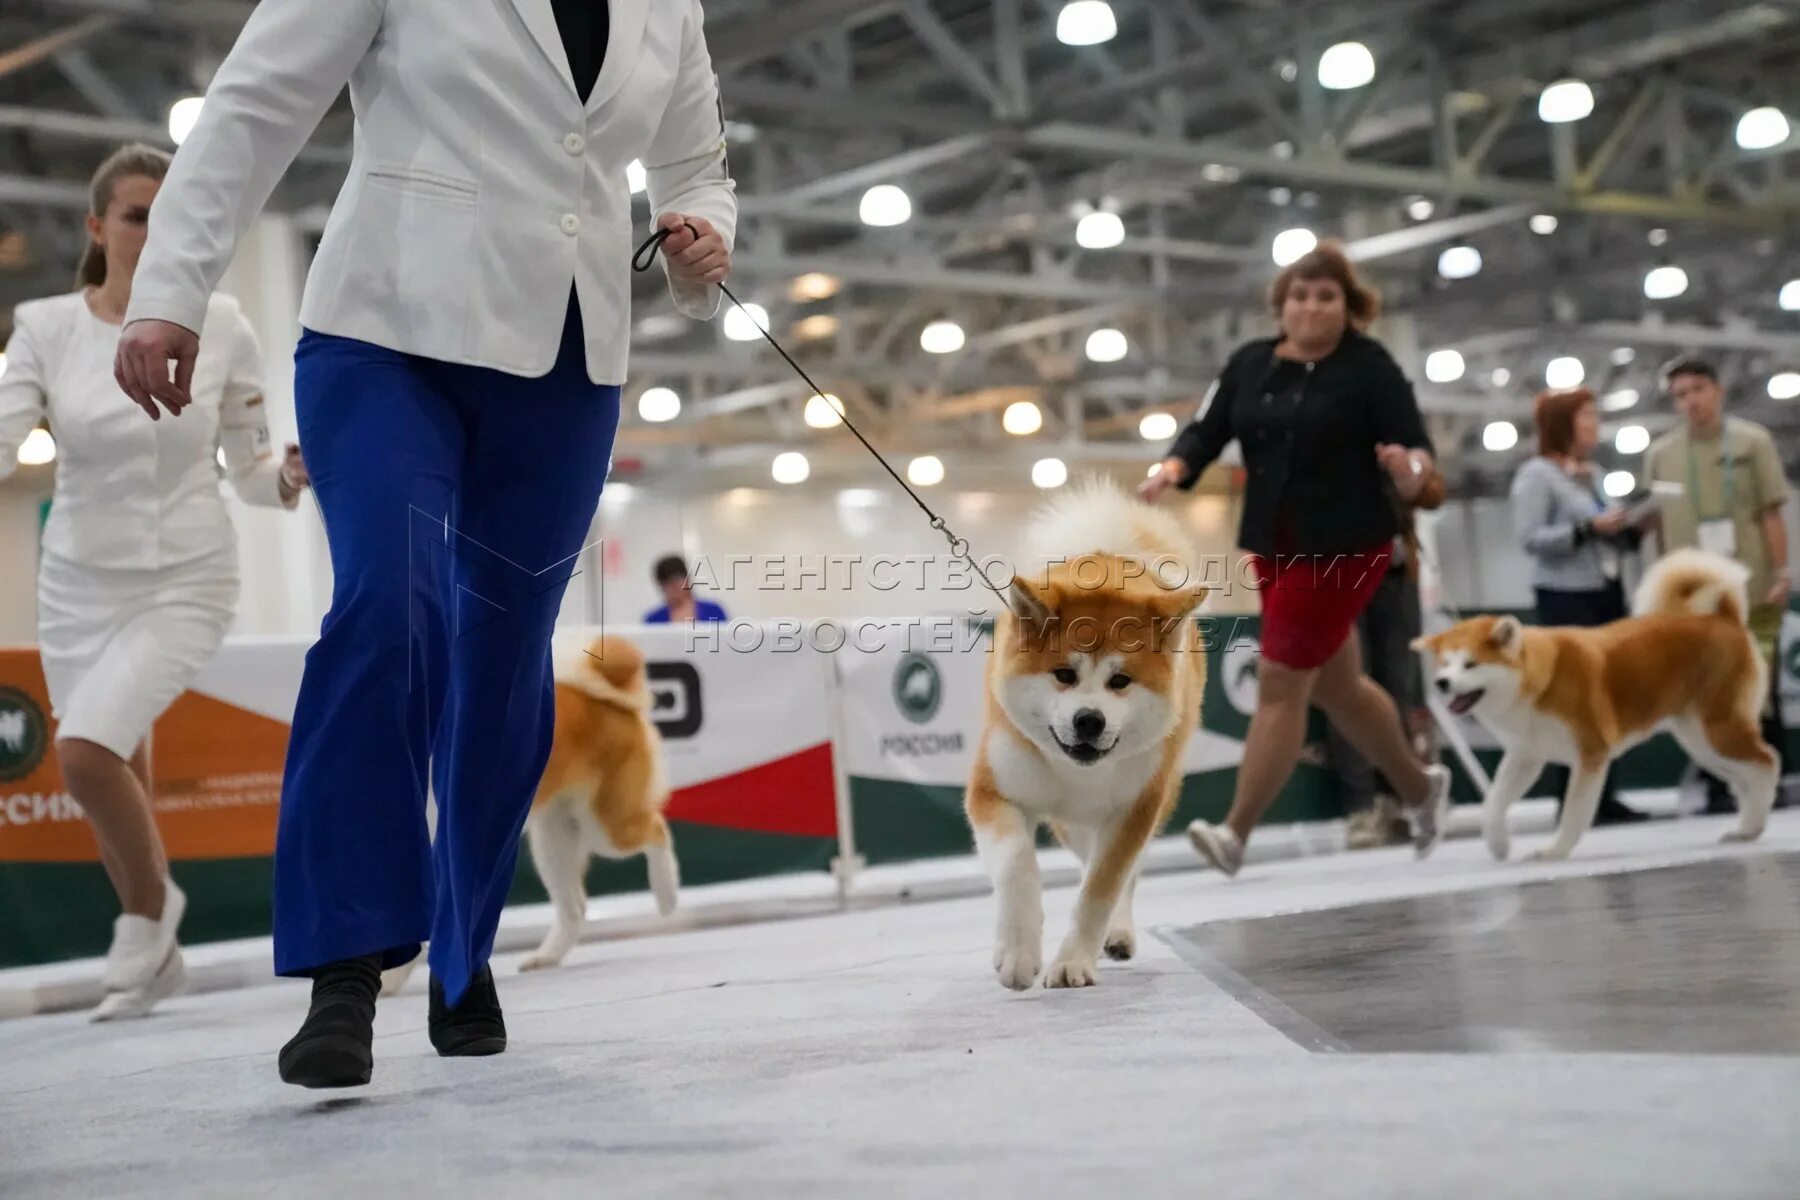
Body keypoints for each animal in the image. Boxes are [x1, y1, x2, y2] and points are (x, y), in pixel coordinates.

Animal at [964, 482, 1202, 993]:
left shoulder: (1134, 808)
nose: (1089, 721)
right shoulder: (995, 791)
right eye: (1064, 675)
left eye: (1121, 681)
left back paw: (1118, 935)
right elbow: (1016, 865)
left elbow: (1101, 889)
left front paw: (1072, 962)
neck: (1076, 772)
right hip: (1068, 822)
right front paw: (1017, 952)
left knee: (1122, 875)